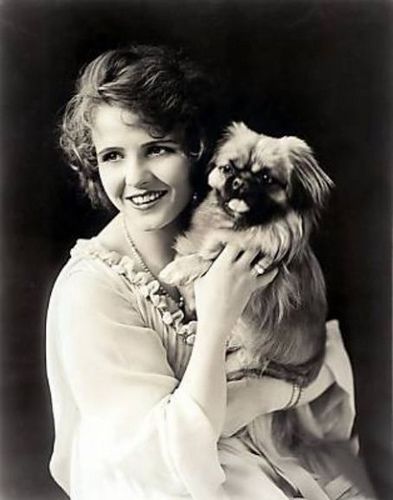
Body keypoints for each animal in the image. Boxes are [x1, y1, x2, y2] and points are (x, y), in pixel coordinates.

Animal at [161, 121, 332, 386]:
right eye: (228, 169)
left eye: (266, 178)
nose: (240, 182)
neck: (235, 225)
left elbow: (208, 257)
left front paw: (176, 269)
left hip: (246, 357)